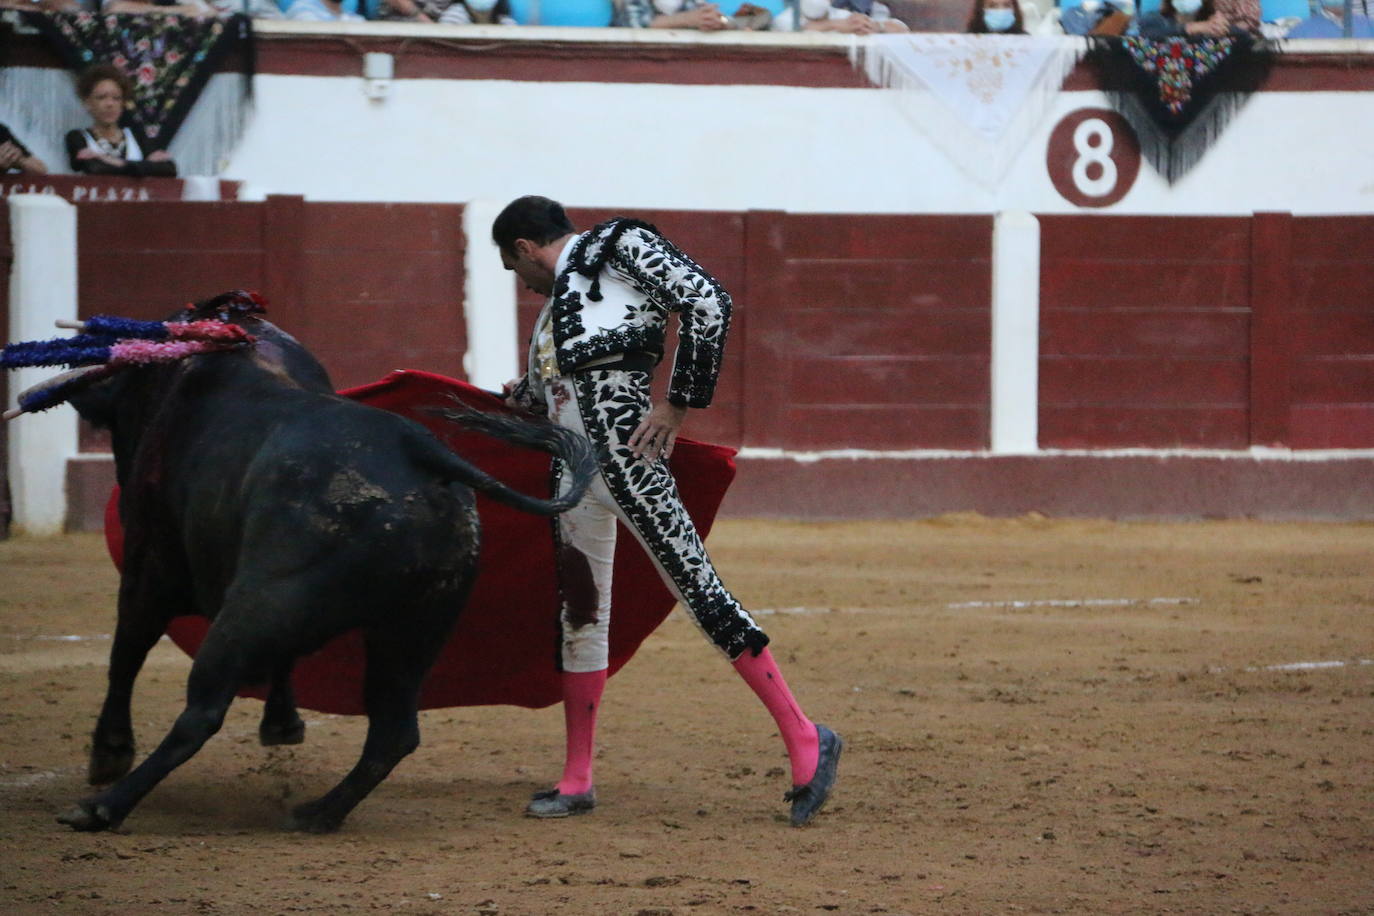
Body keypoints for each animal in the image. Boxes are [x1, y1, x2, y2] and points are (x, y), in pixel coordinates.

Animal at [56, 298, 593, 834]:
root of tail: (423, 451)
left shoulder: (147, 570)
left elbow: (126, 652)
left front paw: (108, 753)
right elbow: (282, 660)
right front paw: (283, 725)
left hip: (258, 604)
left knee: (202, 712)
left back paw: (104, 806)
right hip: (413, 626)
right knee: (394, 730)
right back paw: (320, 811)